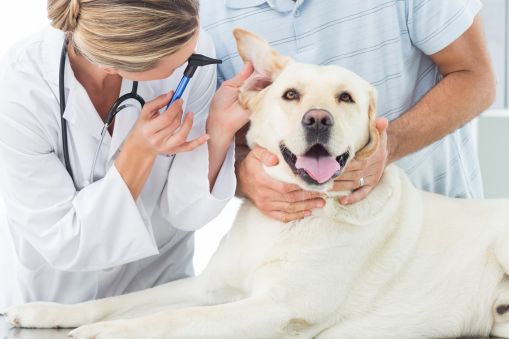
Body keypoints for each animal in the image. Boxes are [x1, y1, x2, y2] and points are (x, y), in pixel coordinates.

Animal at [2, 29, 508, 339]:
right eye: (290, 94)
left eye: (345, 98)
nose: (317, 119)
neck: (287, 224)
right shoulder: (209, 285)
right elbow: (128, 299)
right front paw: (51, 312)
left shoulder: (276, 308)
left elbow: (172, 317)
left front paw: (110, 332)